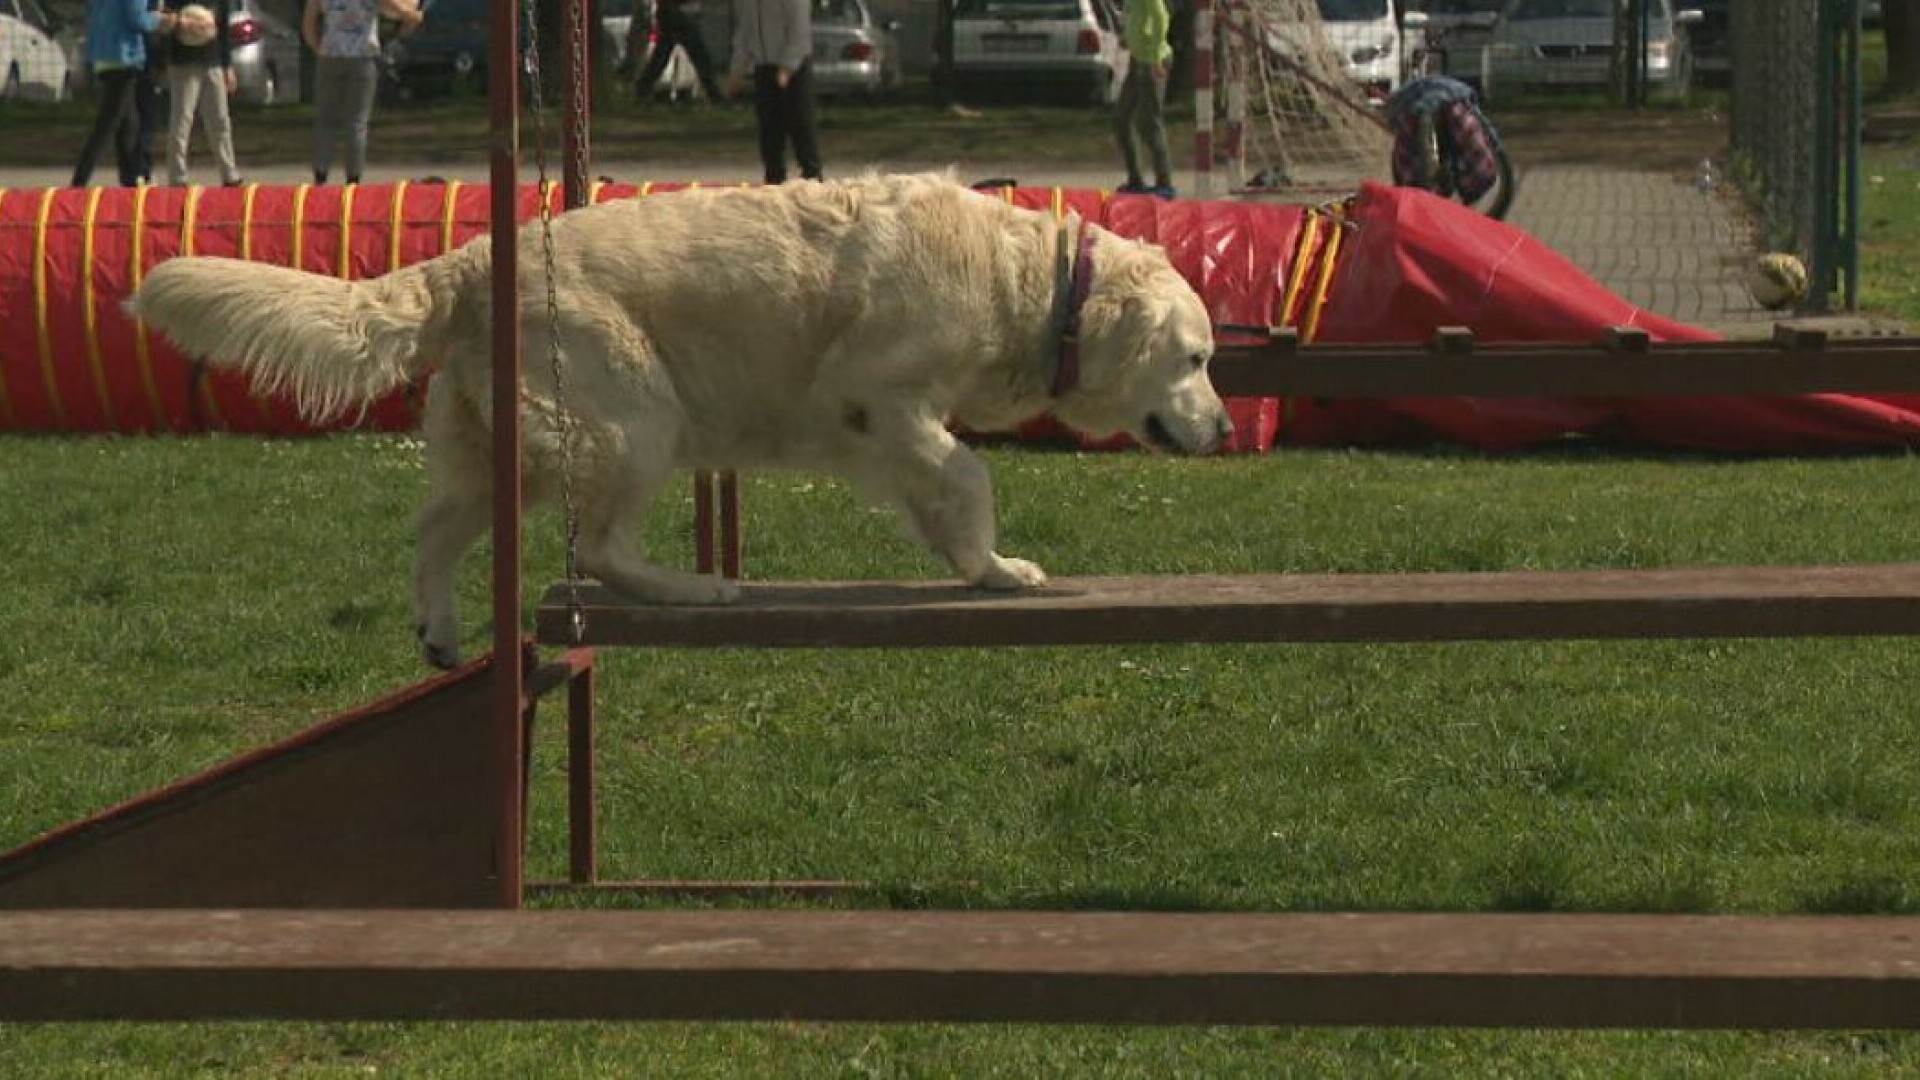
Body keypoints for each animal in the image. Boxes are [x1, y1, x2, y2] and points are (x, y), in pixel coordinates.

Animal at [131, 174, 1228, 664]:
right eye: (1198, 359)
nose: (1222, 429)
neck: (1034, 285)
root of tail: (471, 261)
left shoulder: (888, 426)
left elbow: (941, 489)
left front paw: (974, 565)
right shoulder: (877, 397)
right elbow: (967, 472)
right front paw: (1000, 569)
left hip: (497, 449)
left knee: (438, 530)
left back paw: (440, 631)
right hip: (632, 418)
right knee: (599, 548)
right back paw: (697, 588)